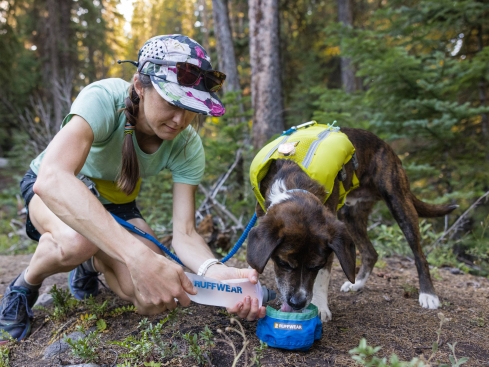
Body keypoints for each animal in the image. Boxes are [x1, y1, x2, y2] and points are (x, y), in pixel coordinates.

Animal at [246, 127, 456, 322]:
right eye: (283, 263)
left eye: (316, 265)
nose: (297, 303)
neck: (295, 182)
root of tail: (386, 146)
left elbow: (321, 280)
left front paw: (320, 307)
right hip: (350, 216)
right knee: (371, 253)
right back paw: (357, 283)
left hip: (399, 202)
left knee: (419, 255)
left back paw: (428, 294)